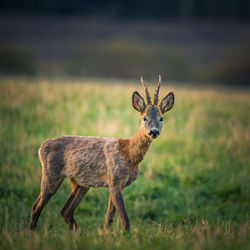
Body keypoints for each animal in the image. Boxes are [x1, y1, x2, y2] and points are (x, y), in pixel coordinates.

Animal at [28, 75, 174, 232]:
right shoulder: (114, 179)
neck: (128, 155)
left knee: (66, 210)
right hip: (51, 174)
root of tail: (41, 147)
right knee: (36, 206)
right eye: (144, 118)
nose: (154, 131)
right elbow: (125, 219)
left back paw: (78, 232)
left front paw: (106, 234)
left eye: (161, 118)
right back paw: (33, 233)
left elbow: (109, 217)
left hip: (80, 182)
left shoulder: (118, 184)